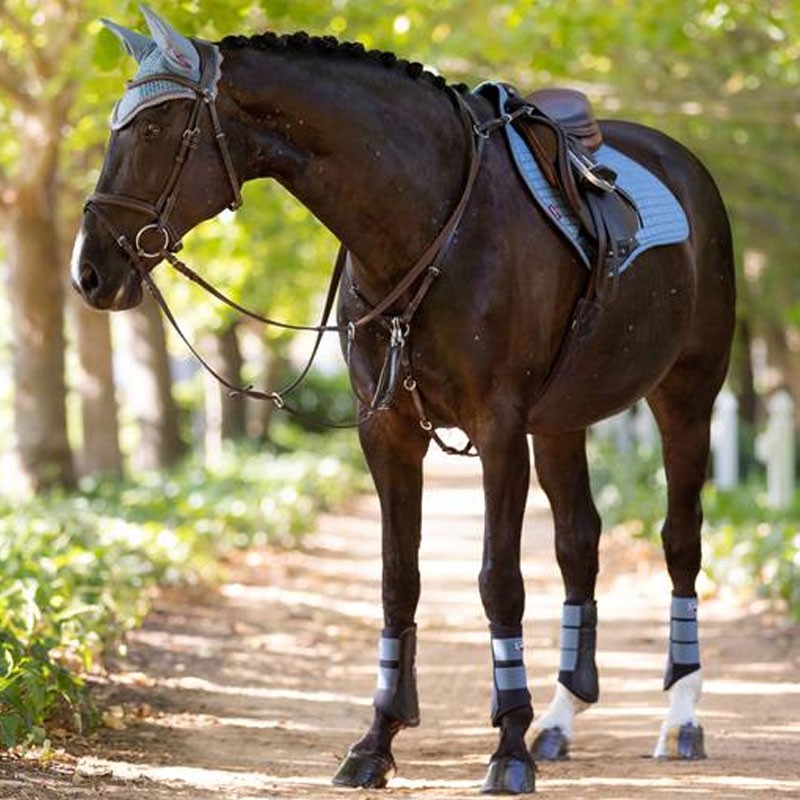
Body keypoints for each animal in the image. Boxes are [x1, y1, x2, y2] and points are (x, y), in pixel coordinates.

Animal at [72, 6, 736, 792]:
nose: (89, 271)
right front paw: (377, 740)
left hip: (686, 395)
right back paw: (560, 719)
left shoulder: (499, 429)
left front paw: (506, 748)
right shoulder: (386, 429)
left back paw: (681, 718)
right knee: (579, 544)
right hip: (561, 423)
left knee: (680, 539)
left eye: (150, 131)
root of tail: (681, 161)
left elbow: (499, 582)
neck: (425, 221)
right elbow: (398, 580)